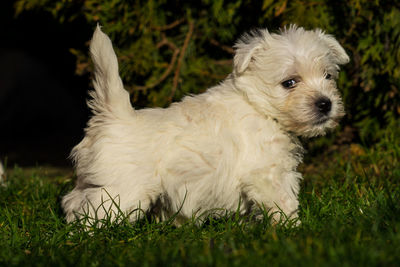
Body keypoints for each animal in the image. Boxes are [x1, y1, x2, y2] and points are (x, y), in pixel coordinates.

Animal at [61, 25, 348, 226]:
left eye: (328, 76)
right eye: (289, 82)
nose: (325, 103)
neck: (258, 105)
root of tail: (115, 116)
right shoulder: (268, 174)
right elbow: (284, 202)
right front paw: (293, 229)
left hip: (94, 182)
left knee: (73, 202)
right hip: (123, 192)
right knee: (93, 215)